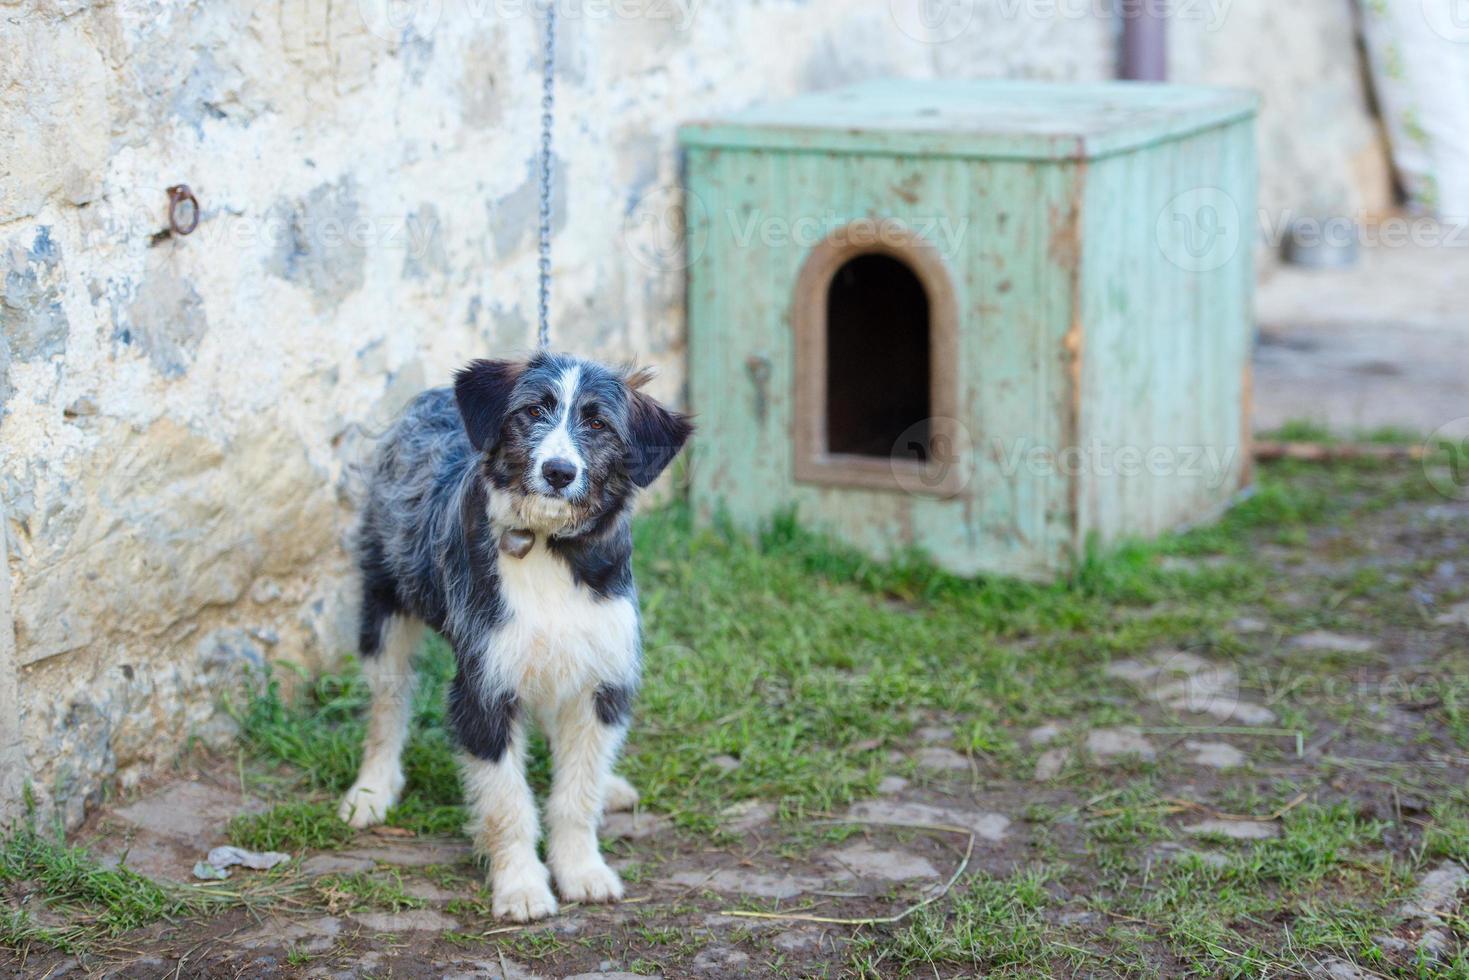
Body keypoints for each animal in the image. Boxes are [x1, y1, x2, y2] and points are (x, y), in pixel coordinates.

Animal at [340, 351, 690, 922]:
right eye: (532, 411)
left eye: (598, 424)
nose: (558, 471)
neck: (548, 546)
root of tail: (433, 396)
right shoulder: (484, 686)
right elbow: (507, 803)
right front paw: (521, 887)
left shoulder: (602, 677)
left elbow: (576, 795)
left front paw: (582, 870)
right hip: (385, 607)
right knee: (386, 708)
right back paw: (371, 790)